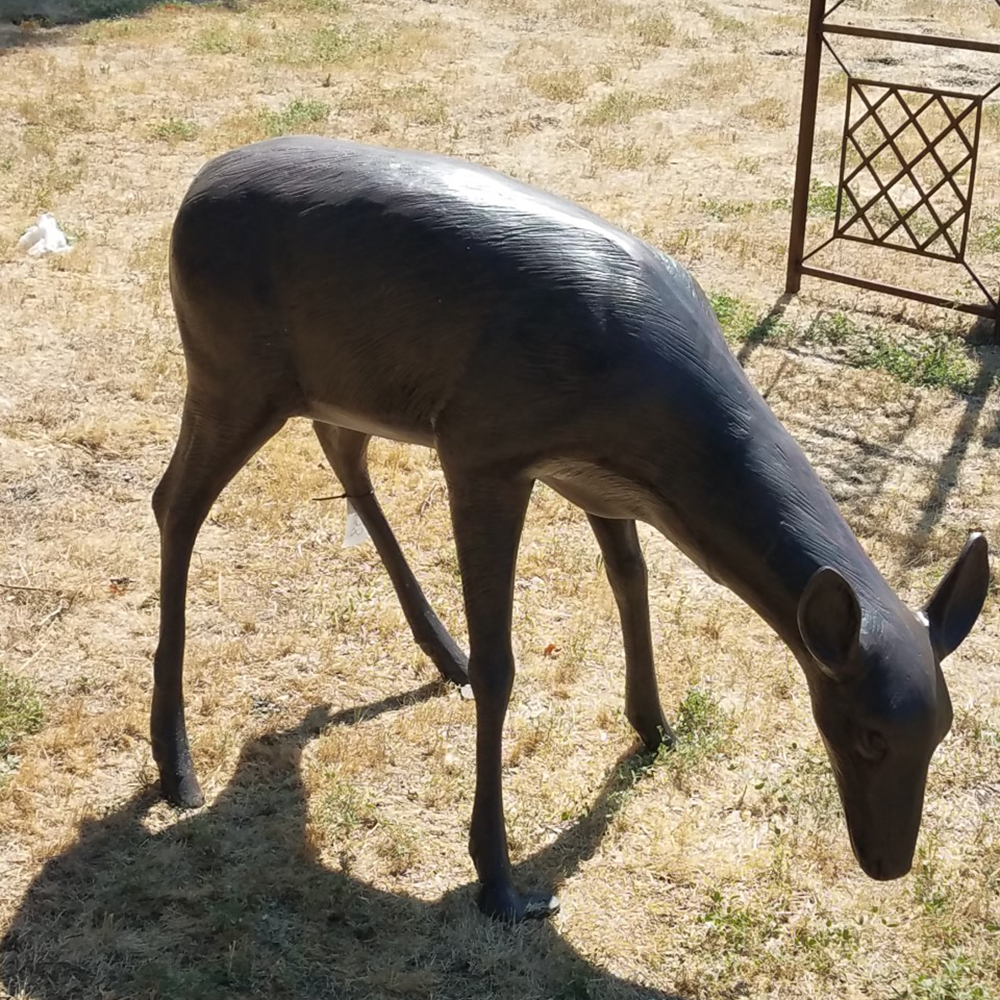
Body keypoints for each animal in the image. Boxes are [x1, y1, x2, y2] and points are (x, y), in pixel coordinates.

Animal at [151, 136, 990, 922]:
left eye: (944, 729)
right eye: (869, 735)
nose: (889, 864)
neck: (643, 401)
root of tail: (191, 194)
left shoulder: (593, 479)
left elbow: (631, 582)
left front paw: (654, 729)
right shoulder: (484, 447)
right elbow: (504, 664)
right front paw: (498, 882)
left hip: (334, 384)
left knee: (341, 455)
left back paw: (441, 654)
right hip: (230, 368)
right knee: (174, 503)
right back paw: (176, 764)